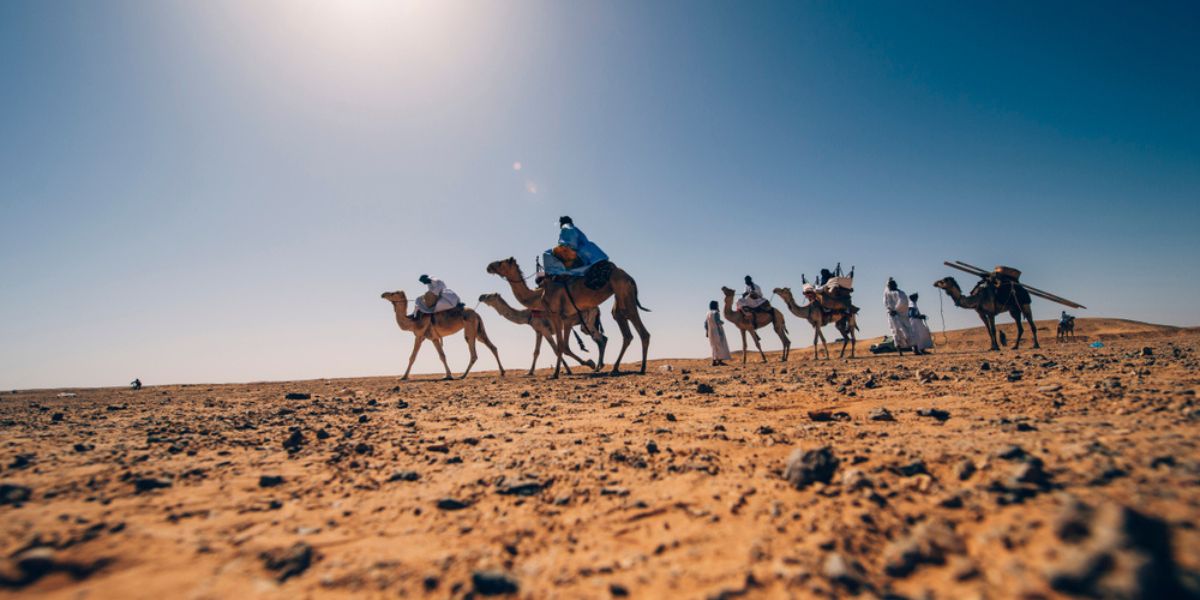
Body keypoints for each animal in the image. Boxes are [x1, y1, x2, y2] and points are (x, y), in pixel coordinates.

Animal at [482, 259, 652, 379]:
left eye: (501, 262)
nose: (489, 266)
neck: (537, 298)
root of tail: (629, 276)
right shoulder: (546, 327)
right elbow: (544, 350)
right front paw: (531, 372)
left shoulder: (556, 320)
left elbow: (560, 347)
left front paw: (560, 372)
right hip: (613, 302)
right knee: (616, 330)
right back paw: (610, 368)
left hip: (620, 293)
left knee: (636, 329)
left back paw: (639, 368)